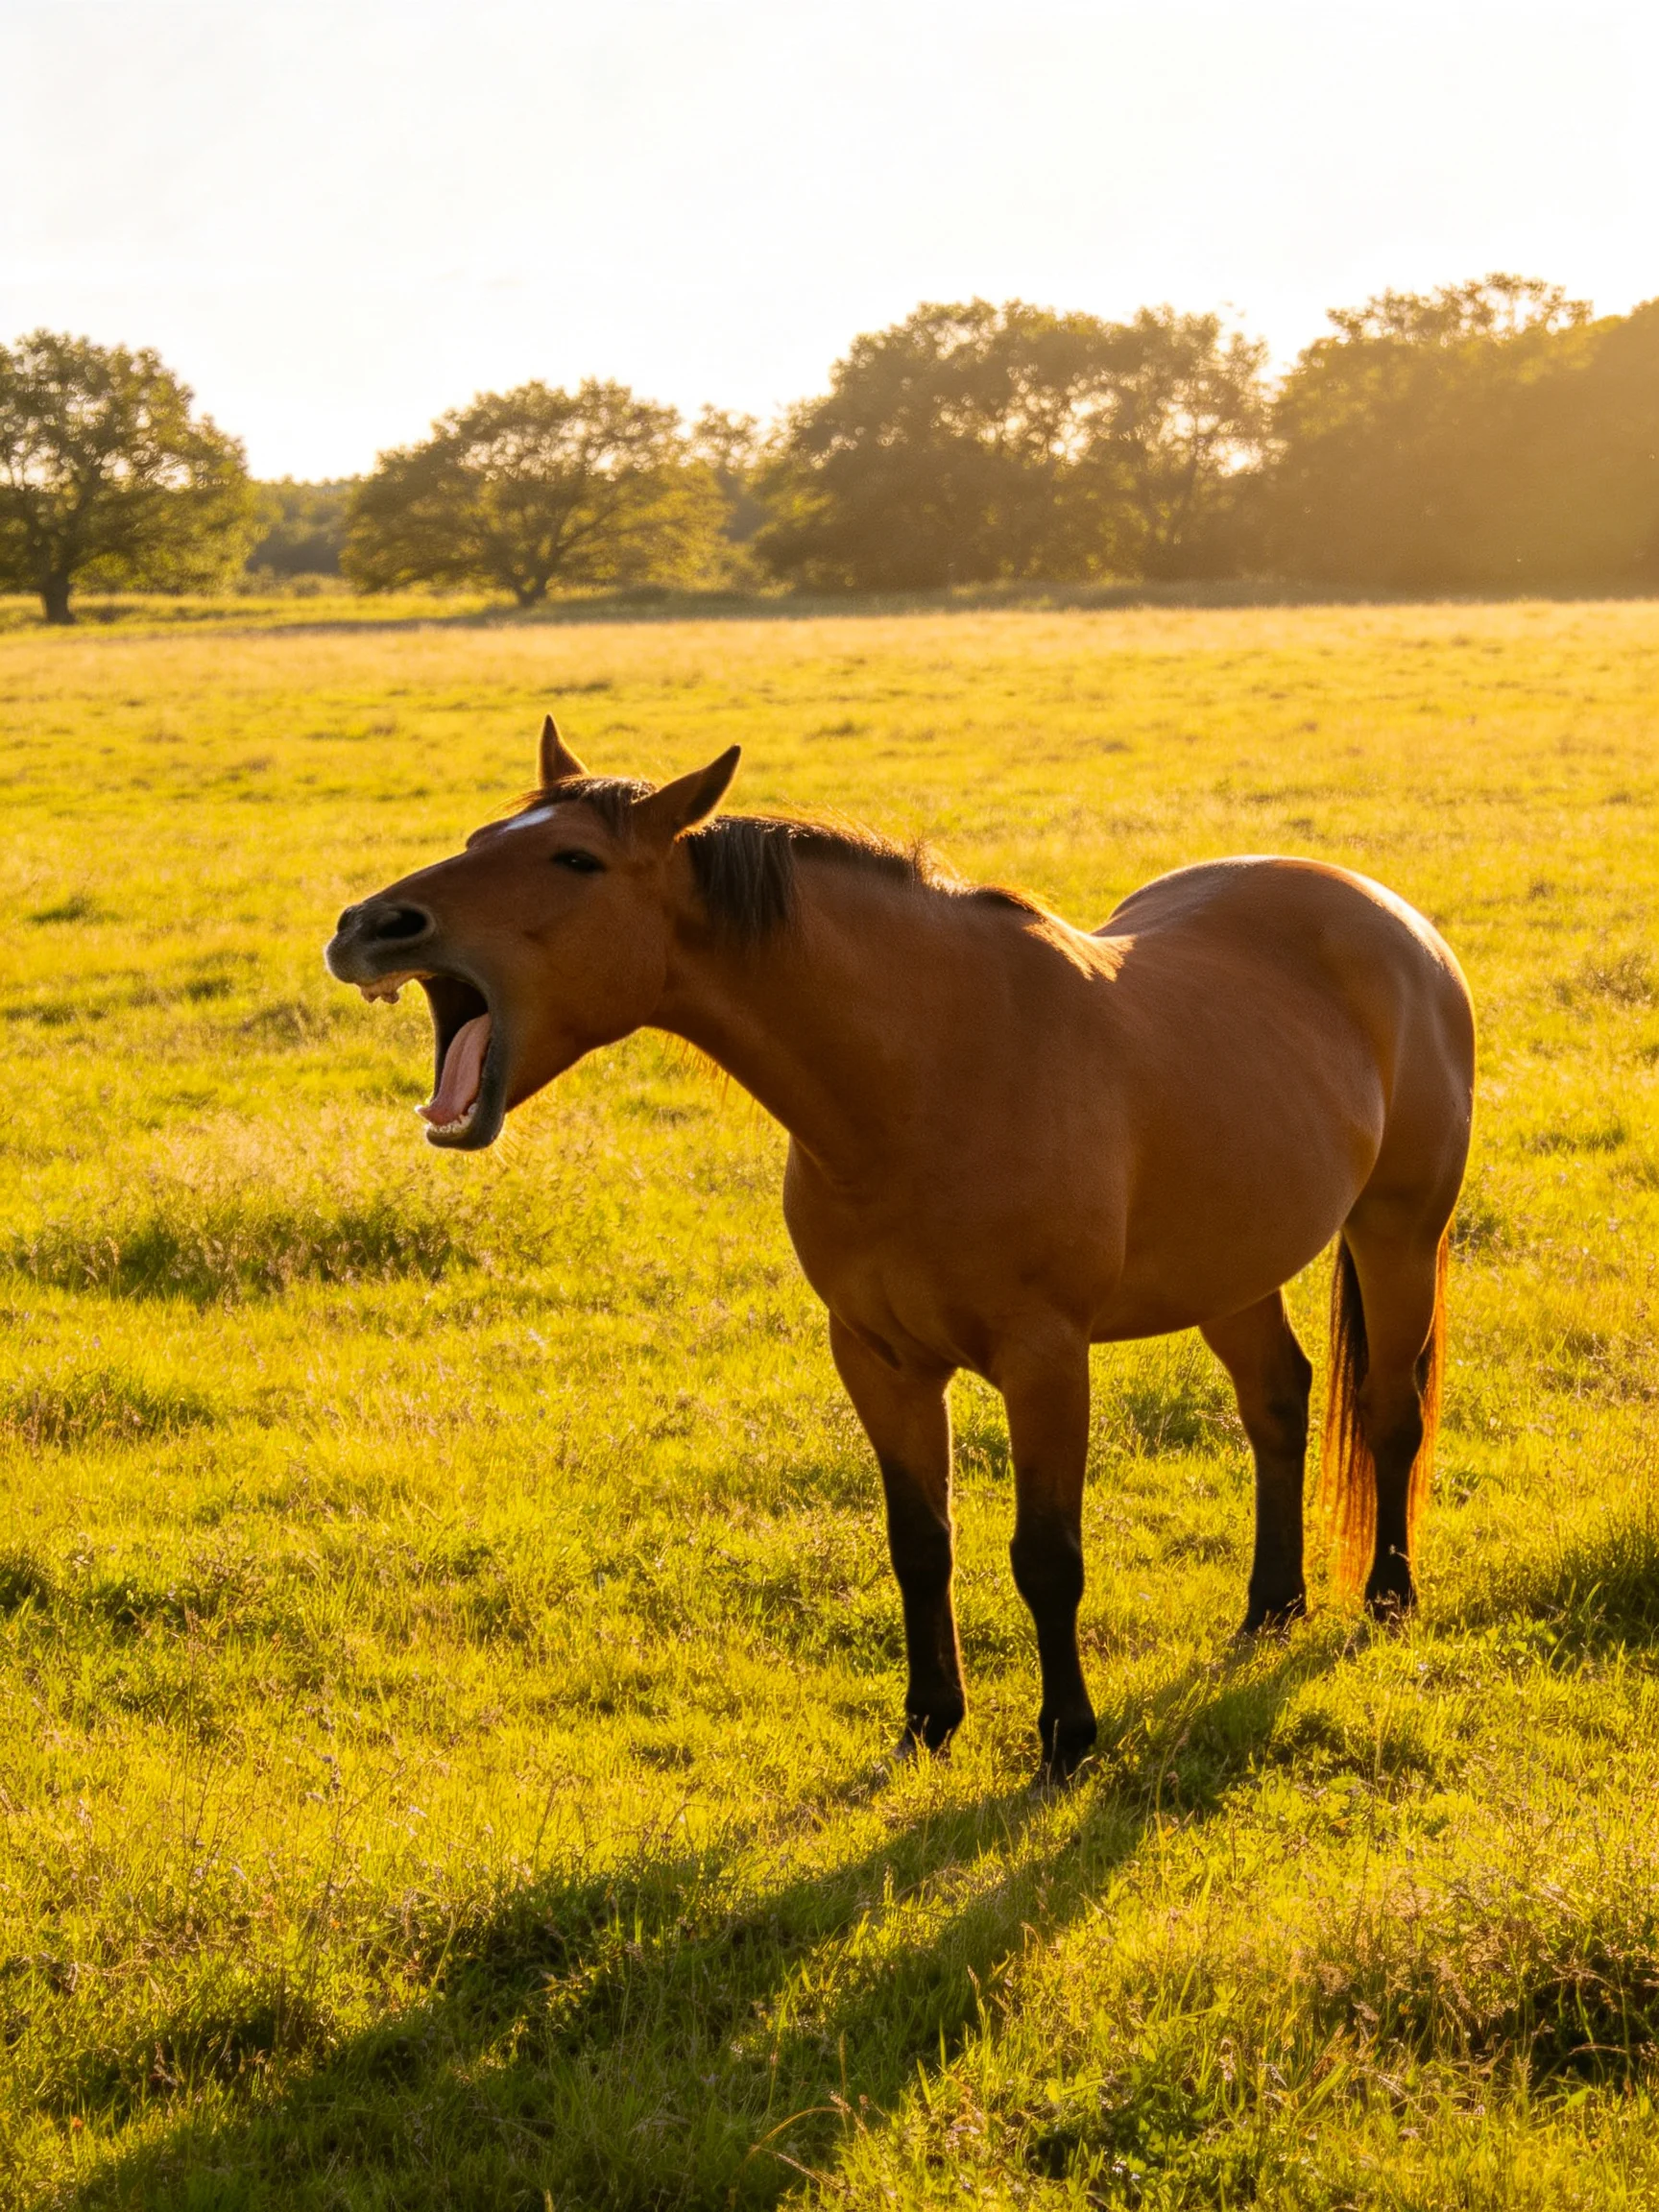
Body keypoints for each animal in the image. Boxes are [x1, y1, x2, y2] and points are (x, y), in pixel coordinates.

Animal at [325, 717, 1475, 1782]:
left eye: (575, 861)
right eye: (482, 837)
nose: (370, 926)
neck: (926, 1077)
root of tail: (1392, 919)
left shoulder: (1044, 1359)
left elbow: (1047, 1556)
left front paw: (1066, 1740)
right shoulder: (877, 1357)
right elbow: (919, 1544)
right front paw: (930, 1721)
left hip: (1398, 1233)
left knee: (1389, 1410)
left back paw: (1387, 1599)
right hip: (1232, 1266)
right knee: (1277, 1401)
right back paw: (1271, 1607)